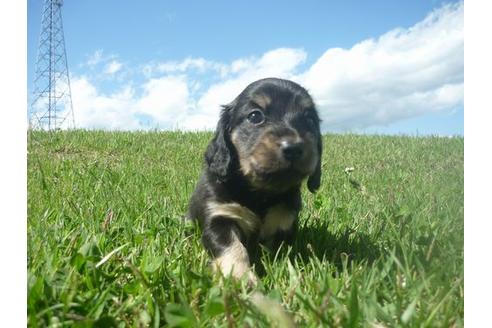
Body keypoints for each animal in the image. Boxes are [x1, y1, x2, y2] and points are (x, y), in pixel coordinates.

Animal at [186, 78, 320, 284]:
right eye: (255, 116)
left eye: (310, 119)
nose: (293, 148)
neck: (259, 194)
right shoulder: (219, 217)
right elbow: (233, 248)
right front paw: (240, 278)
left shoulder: (284, 222)